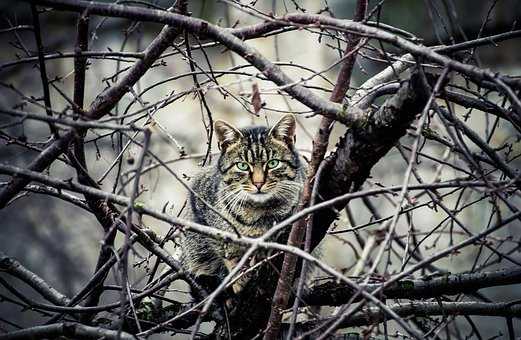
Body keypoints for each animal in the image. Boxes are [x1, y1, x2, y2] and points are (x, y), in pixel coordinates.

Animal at [181, 115, 306, 292]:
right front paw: (239, 278)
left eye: (273, 163)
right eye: (242, 166)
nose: (259, 183)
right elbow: (229, 252)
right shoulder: (200, 205)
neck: (258, 211)